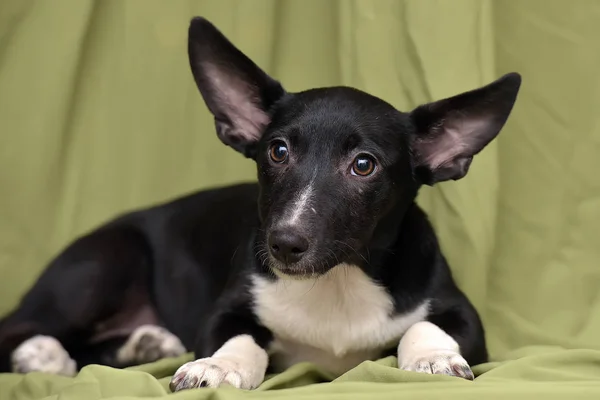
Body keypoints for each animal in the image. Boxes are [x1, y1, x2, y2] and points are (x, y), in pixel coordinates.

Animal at [0, 17, 520, 392]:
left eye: (364, 165)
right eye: (278, 150)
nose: (284, 244)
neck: (336, 283)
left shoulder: (465, 316)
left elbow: (425, 327)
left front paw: (432, 358)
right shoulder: (224, 310)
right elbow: (243, 337)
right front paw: (219, 367)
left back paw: (143, 345)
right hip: (102, 264)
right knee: (18, 327)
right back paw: (44, 354)